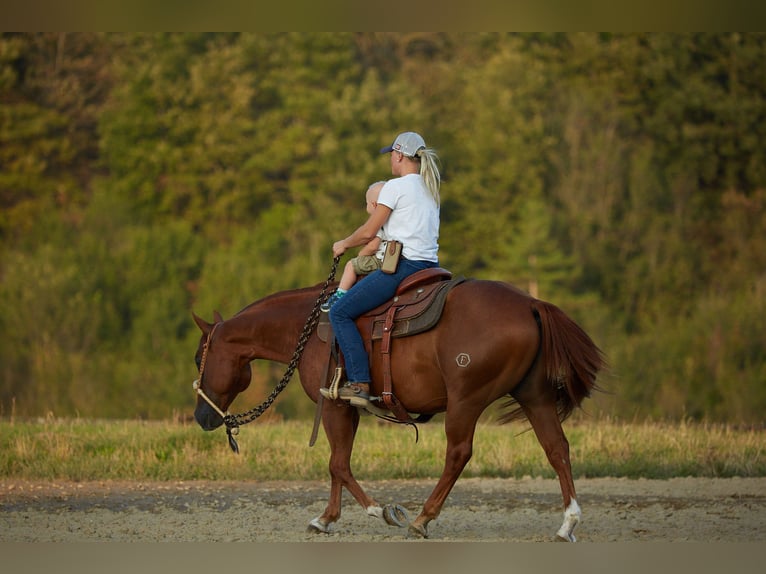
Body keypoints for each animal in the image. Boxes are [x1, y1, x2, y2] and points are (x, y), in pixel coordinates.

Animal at [192, 274, 608, 544]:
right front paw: (326, 519)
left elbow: (338, 464)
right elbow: (337, 462)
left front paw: (381, 512)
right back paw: (567, 524)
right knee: (557, 449)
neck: (307, 330)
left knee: (458, 453)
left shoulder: (334, 406)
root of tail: (531, 304)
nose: (201, 416)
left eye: (199, 357)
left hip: (466, 400)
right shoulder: (346, 409)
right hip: (534, 397)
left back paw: (422, 519)